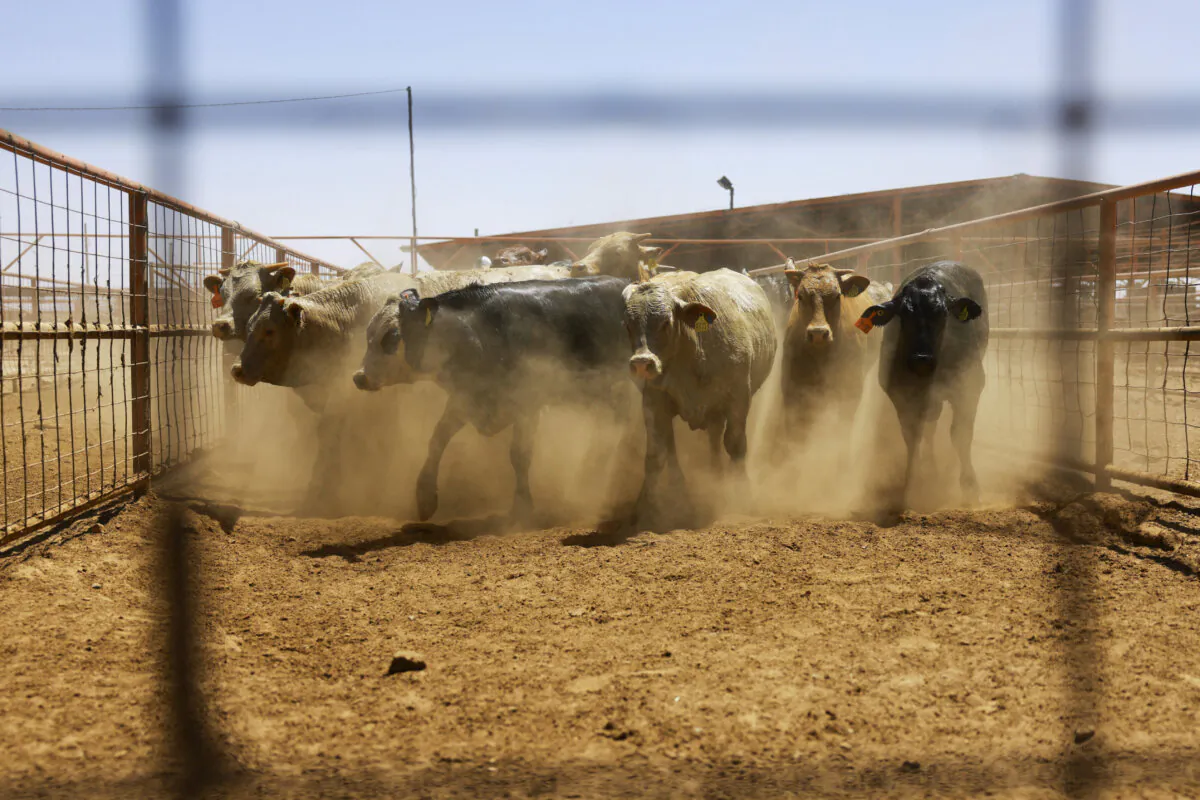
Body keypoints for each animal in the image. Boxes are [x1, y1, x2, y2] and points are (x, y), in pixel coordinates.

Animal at [387, 277, 632, 522]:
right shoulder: (466, 398)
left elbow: (519, 455)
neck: (478, 333)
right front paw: (425, 498)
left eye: (419, 329)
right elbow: (437, 439)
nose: (414, 360)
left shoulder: (527, 402)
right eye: (401, 332)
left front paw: (522, 507)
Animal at [623, 269, 777, 521]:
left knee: (715, 439)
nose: (642, 363)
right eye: (628, 325)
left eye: (666, 322)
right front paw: (644, 507)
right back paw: (681, 490)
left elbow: (735, 444)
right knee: (673, 446)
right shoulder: (653, 401)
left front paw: (742, 495)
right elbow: (656, 453)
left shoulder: (738, 399)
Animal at [857, 260, 988, 508]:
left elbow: (961, 435)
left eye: (942, 314)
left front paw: (970, 487)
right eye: (904, 315)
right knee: (929, 427)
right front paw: (912, 484)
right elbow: (912, 436)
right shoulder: (901, 394)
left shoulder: (970, 385)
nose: (921, 359)